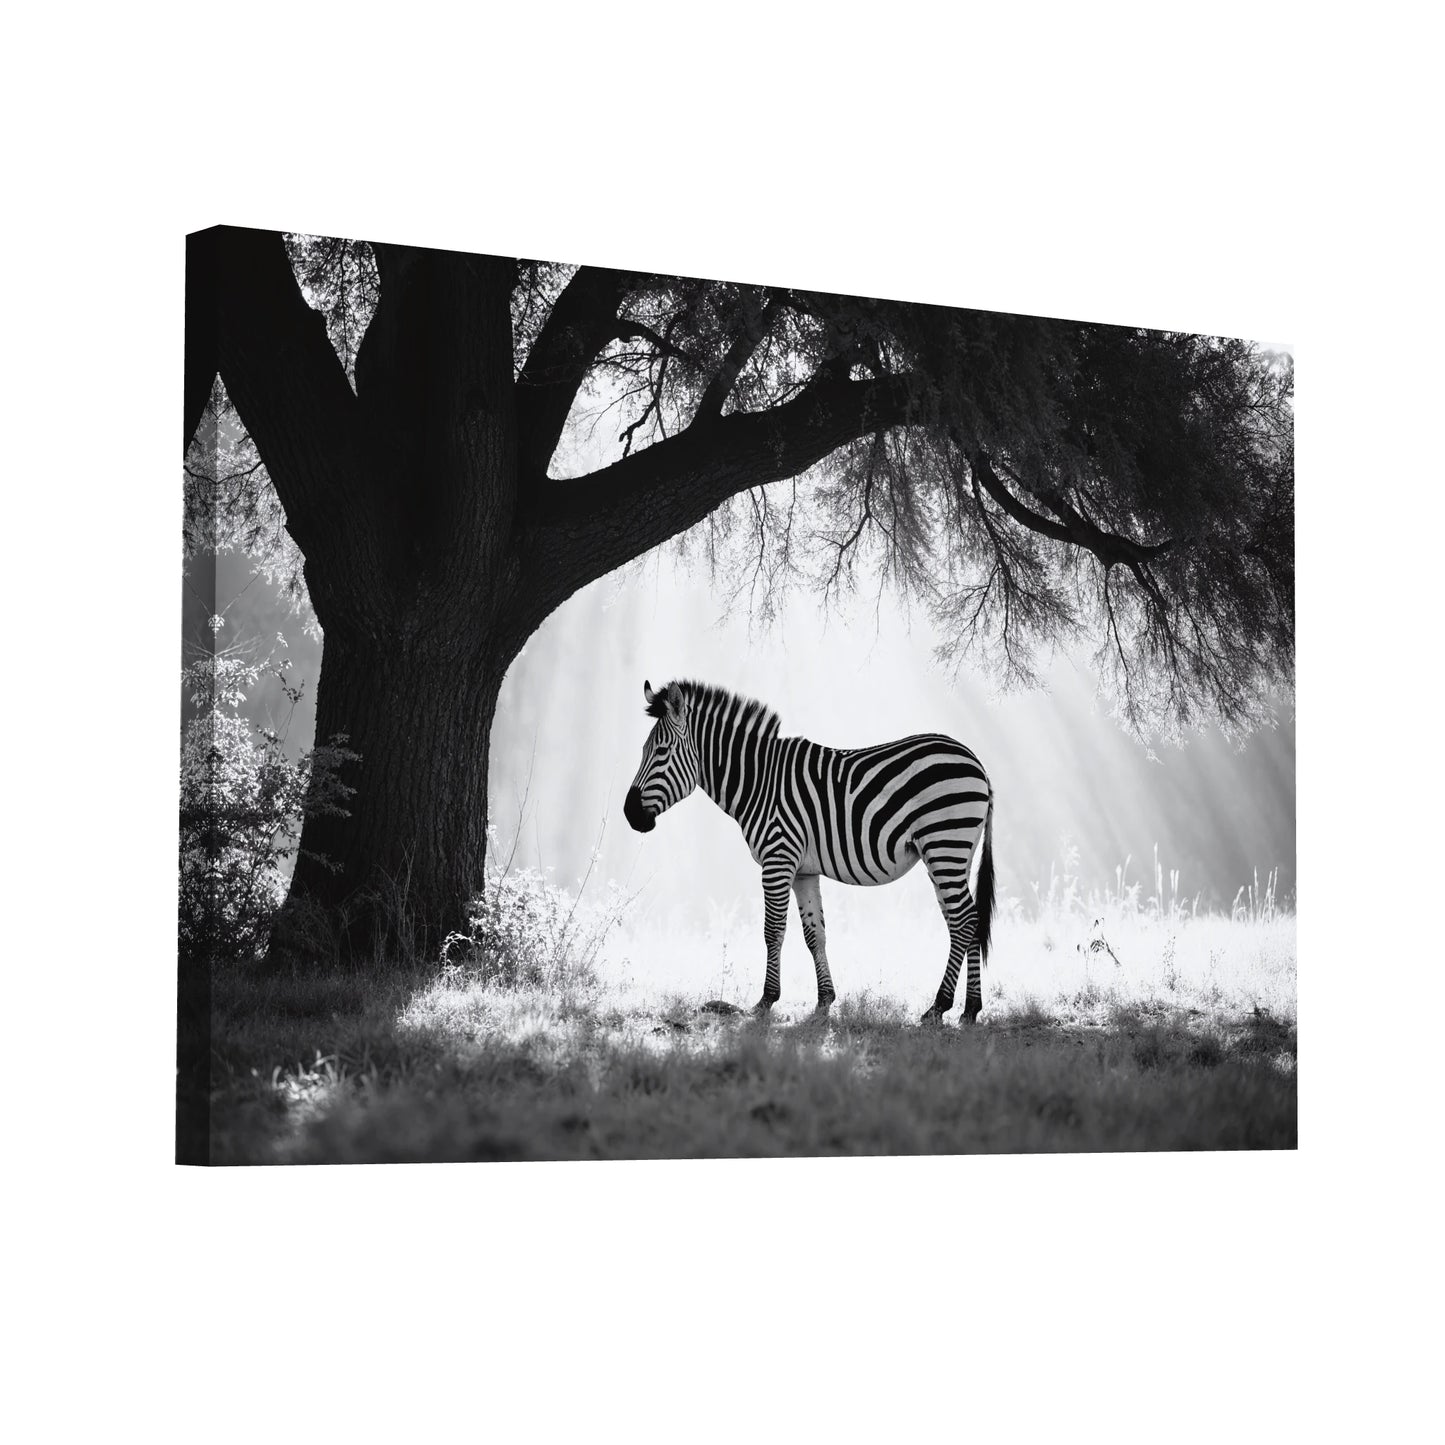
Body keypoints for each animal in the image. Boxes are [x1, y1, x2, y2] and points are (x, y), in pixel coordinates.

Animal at [623, 679, 995, 1024]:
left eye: (660, 752)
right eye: (642, 751)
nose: (629, 814)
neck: (759, 781)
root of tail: (977, 762)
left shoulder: (777, 859)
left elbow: (773, 931)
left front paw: (766, 1000)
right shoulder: (804, 870)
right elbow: (814, 934)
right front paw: (825, 1000)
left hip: (944, 844)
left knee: (965, 919)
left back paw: (939, 1007)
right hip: (951, 853)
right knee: (965, 920)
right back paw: (969, 1009)